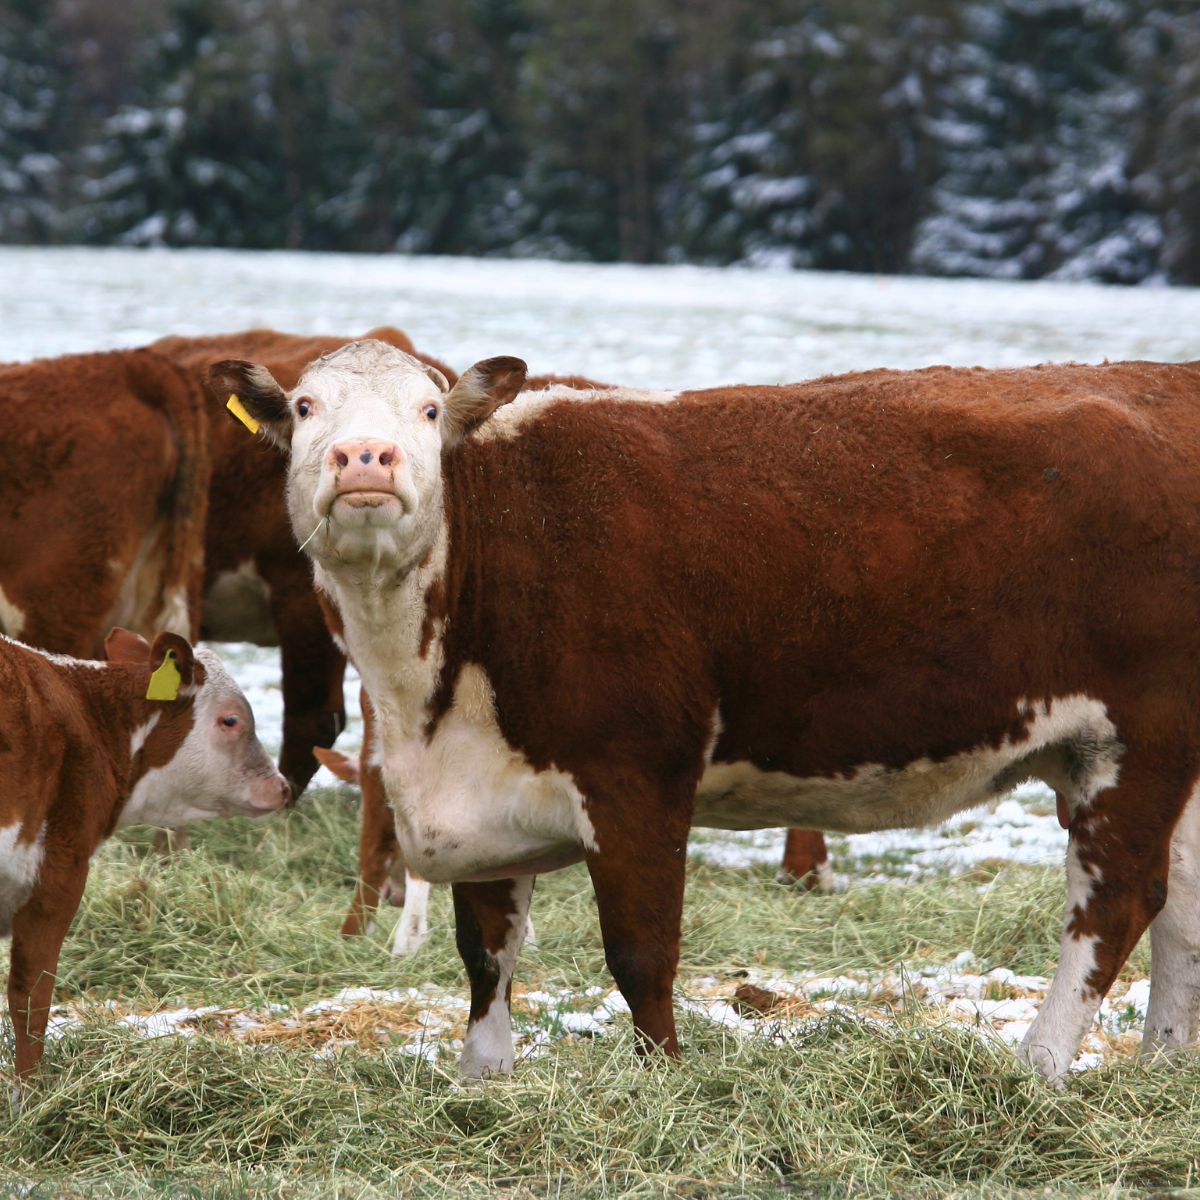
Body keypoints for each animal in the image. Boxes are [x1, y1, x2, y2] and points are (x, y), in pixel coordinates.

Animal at [211, 343, 1200, 1084]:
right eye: (305, 407)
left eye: (425, 411)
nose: (363, 461)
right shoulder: (484, 783)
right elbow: (486, 948)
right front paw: (482, 1080)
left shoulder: (637, 772)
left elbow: (641, 951)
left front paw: (663, 1081)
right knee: (1183, 904)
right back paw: (1163, 1064)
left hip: (1134, 738)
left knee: (1117, 900)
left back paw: (1038, 1067)